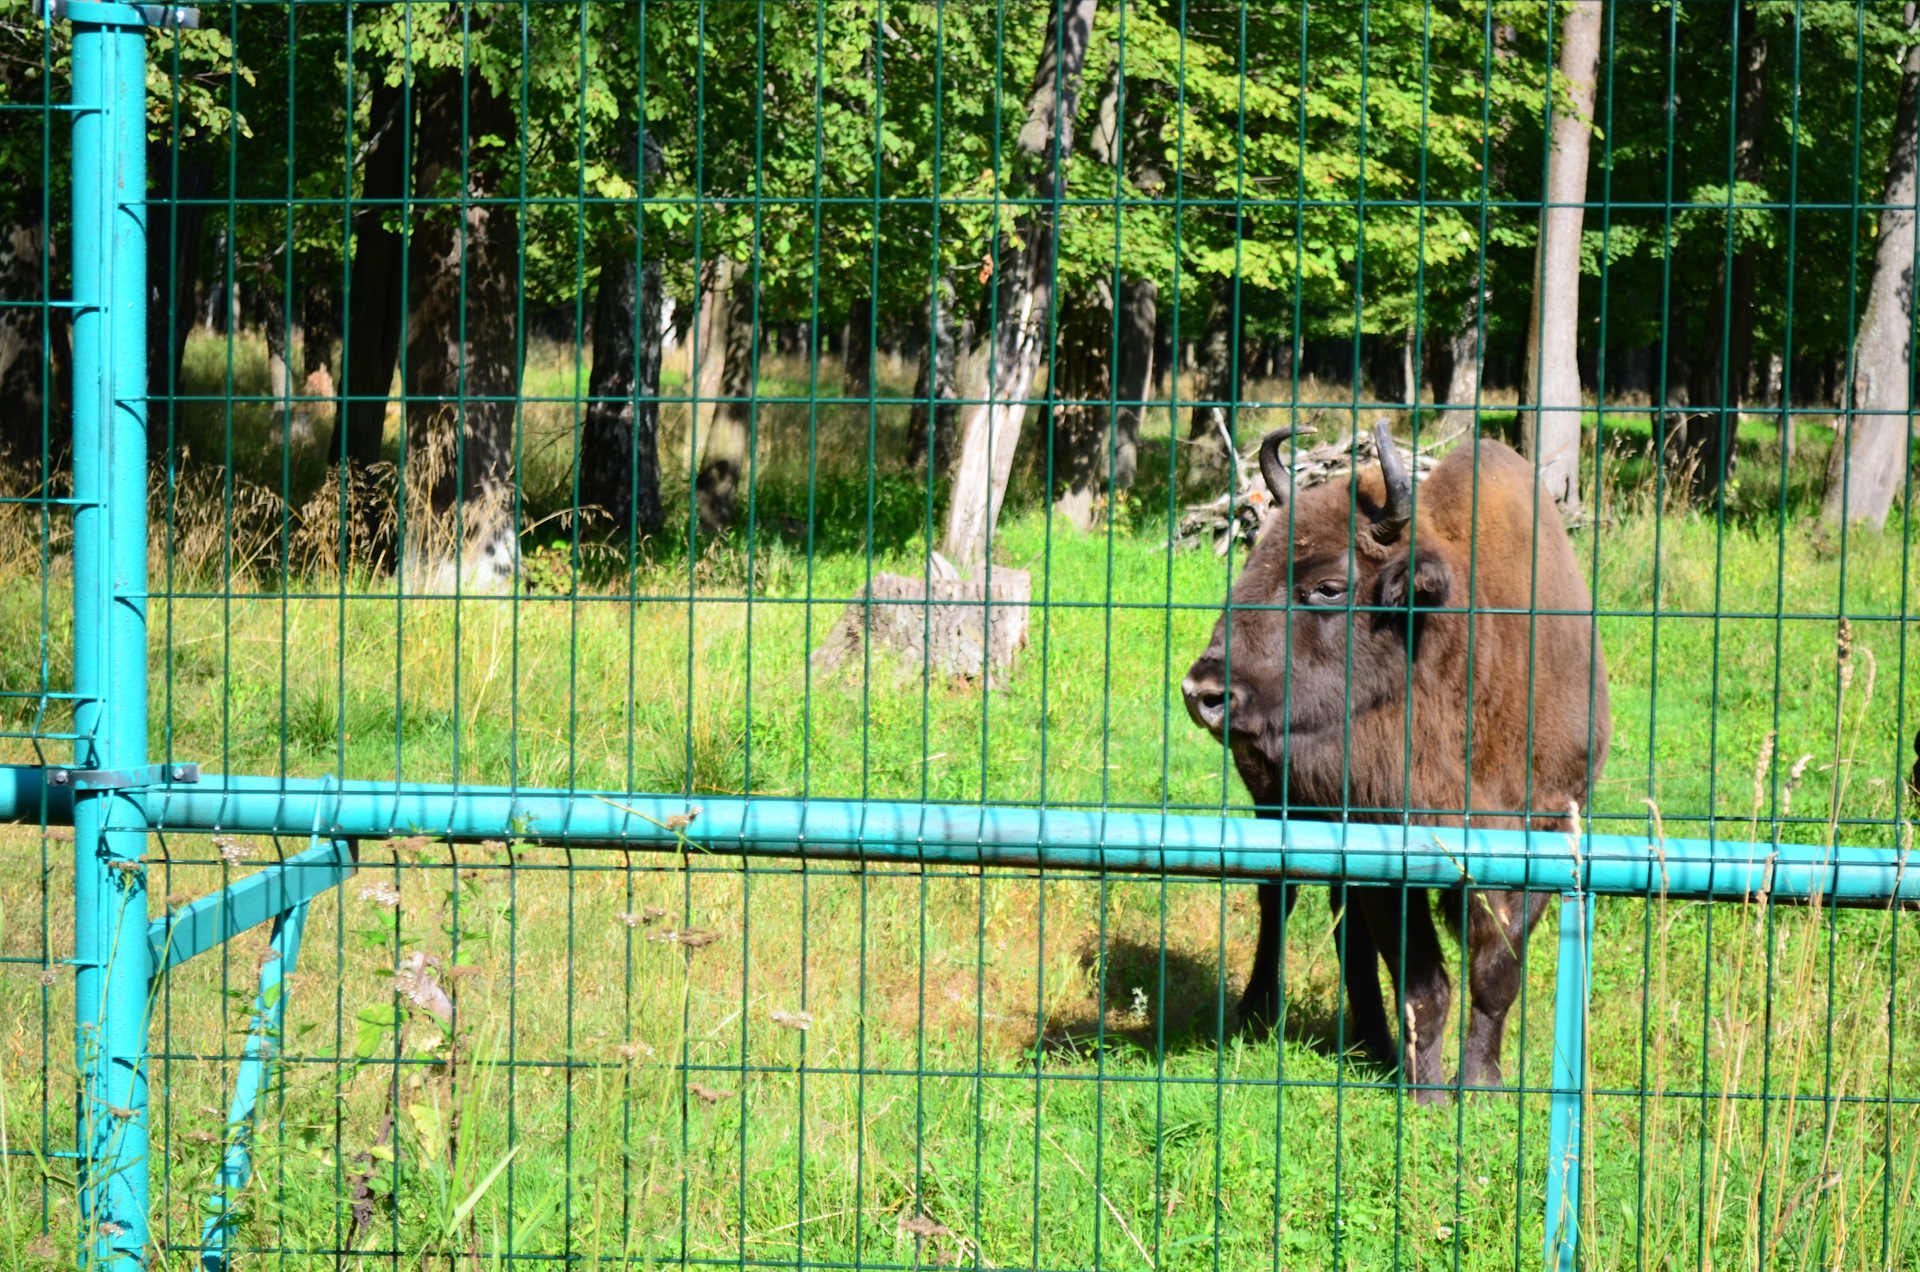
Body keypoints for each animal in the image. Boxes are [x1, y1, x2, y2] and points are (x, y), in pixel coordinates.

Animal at [1175, 422, 1612, 1099]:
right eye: (1250, 565)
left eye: (1328, 586)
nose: (1204, 691)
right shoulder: (1385, 852)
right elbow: (1424, 984)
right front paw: (1427, 1094)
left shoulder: (1545, 832)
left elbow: (1496, 971)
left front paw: (1480, 1086)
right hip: (1276, 805)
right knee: (1281, 898)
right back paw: (1260, 1014)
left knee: (1342, 921)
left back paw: (1370, 1043)